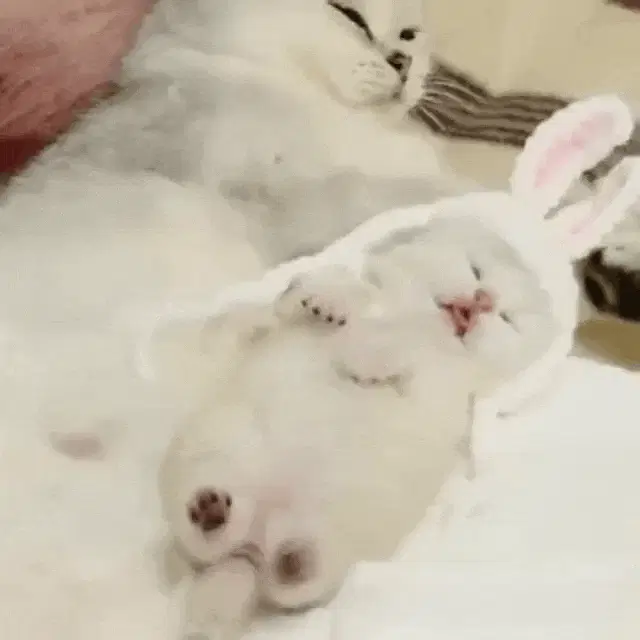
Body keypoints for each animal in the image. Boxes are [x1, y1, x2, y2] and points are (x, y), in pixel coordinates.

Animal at [159, 215, 560, 639]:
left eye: (509, 319)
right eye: (476, 269)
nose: (484, 300)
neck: (410, 313)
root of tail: (254, 538)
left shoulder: (443, 383)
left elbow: (404, 348)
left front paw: (366, 356)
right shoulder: (294, 314)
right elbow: (312, 296)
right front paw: (324, 302)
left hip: (323, 545)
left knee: (287, 576)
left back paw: (286, 556)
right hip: (216, 451)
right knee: (204, 532)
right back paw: (211, 511)